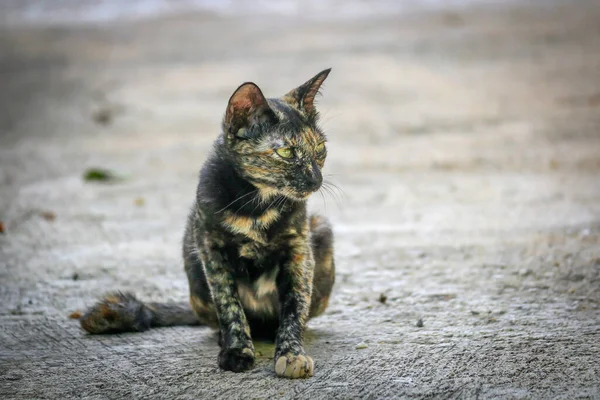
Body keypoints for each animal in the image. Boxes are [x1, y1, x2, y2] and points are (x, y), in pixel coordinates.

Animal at [75, 69, 336, 378]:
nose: (316, 179)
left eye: (320, 148)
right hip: (192, 253)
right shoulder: (210, 247)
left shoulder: (298, 250)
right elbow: (228, 304)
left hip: (321, 229)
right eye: (285, 153)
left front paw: (291, 354)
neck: (256, 207)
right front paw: (237, 350)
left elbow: (295, 305)